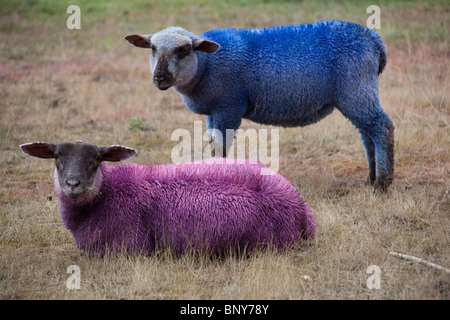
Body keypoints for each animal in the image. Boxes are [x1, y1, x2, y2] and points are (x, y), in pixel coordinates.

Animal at [20, 141, 316, 256]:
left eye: (96, 158)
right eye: (57, 157)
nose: (72, 184)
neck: (108, 193)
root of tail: (302, 208)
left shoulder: (129, 248)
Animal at [125, 20, 394, 192]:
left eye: (183, 50)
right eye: (152, 48)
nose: (159, 78)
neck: (206, 66)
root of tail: (375, 40)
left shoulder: (229, 107)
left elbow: (221, 147)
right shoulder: (213, 111)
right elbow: (212, 144)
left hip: (356, 88)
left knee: (382, 127)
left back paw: (383, 184)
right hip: (357, 93)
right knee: (367, 133)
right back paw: (371, 178)